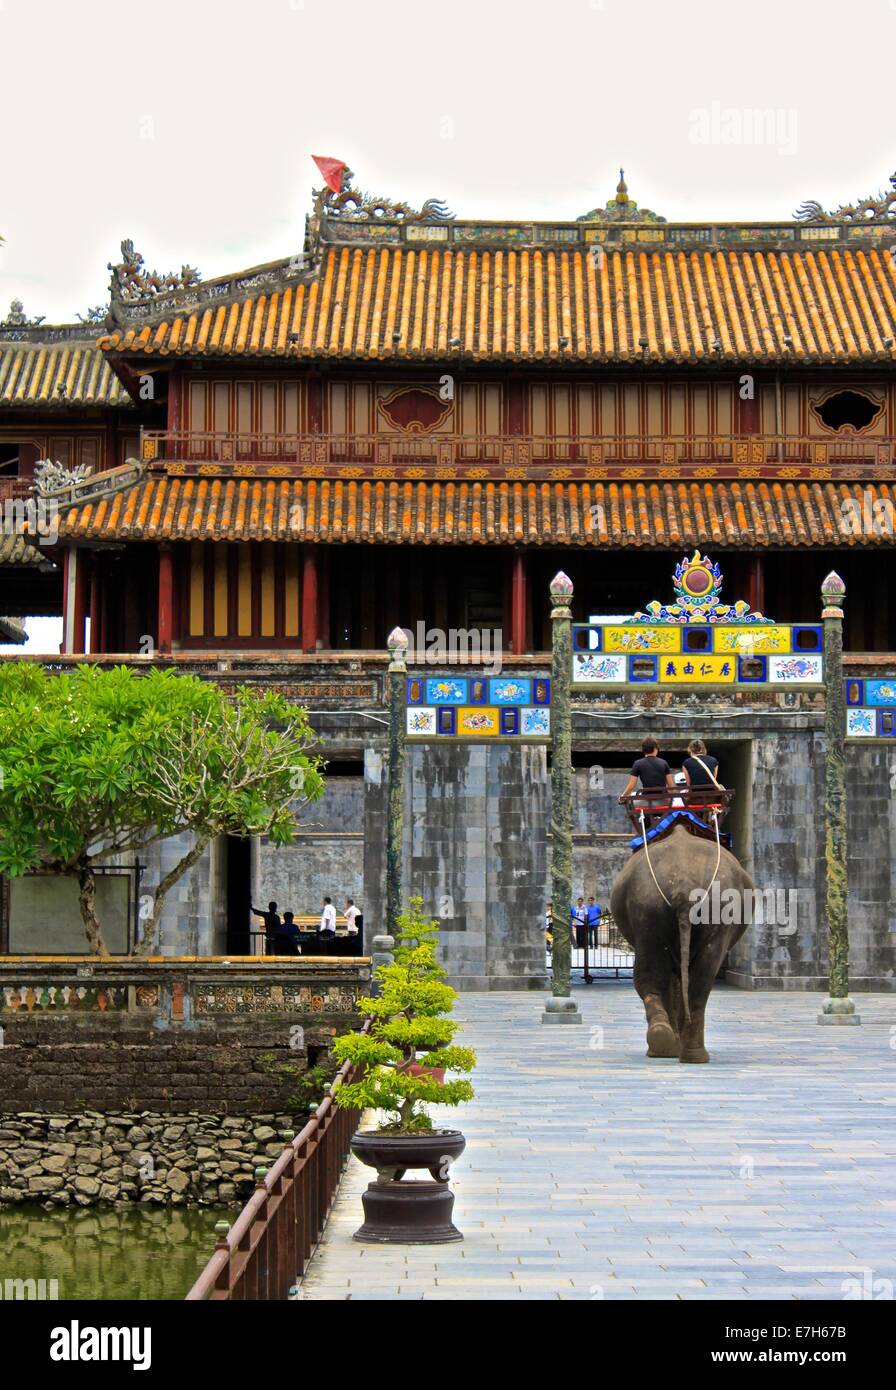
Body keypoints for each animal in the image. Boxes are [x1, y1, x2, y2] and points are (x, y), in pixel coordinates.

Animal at [611, 822, 750, 1061]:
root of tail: (684, 884)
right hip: (683, 906)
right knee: (691, 977)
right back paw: (683, 1052)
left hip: (657, 907)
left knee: (672, 975)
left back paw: (671, 1047)